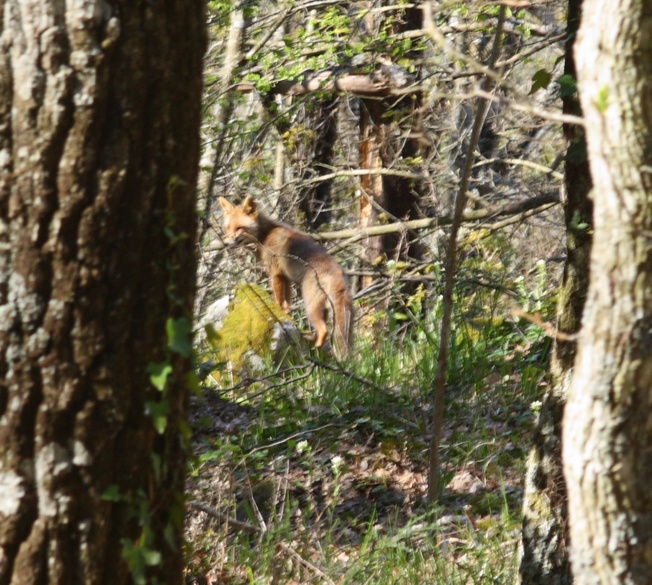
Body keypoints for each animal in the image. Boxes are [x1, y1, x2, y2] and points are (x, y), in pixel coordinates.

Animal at [219, 196, 354, 358]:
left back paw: (315, 350)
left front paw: (277, 312)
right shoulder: (286, 277)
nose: (226, 243)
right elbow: (287, 304)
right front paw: (286, 316)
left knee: (324, 331)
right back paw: (310, 341)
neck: (266, 235)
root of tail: (338, 273)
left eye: (239, 228)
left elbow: (278, 299)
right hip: (326, 310)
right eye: (228, 228)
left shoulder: (275, 273)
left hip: (311, 307)